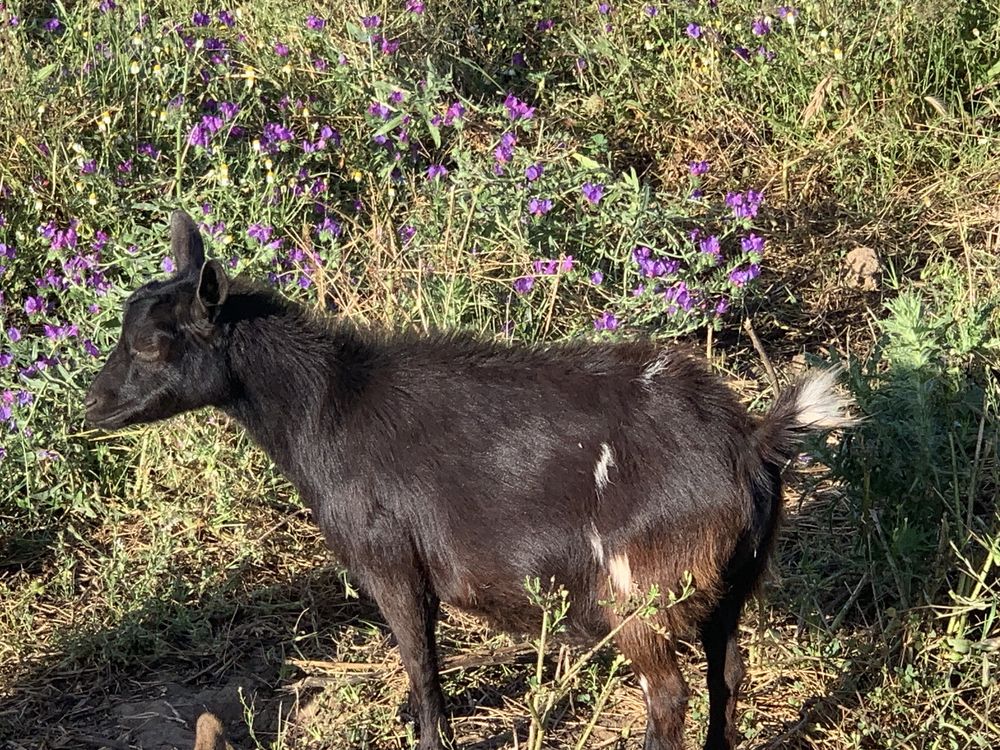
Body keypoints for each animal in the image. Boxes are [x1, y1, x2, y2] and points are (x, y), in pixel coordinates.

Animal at [88, 210, 852, 750]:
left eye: (151, 343)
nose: (94, 407)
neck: (330, 404)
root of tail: (749, 442)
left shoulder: (392, 562)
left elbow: (423, 671)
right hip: (735, 580)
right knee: (728, 674)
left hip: (643, 586)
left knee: (669, 696)